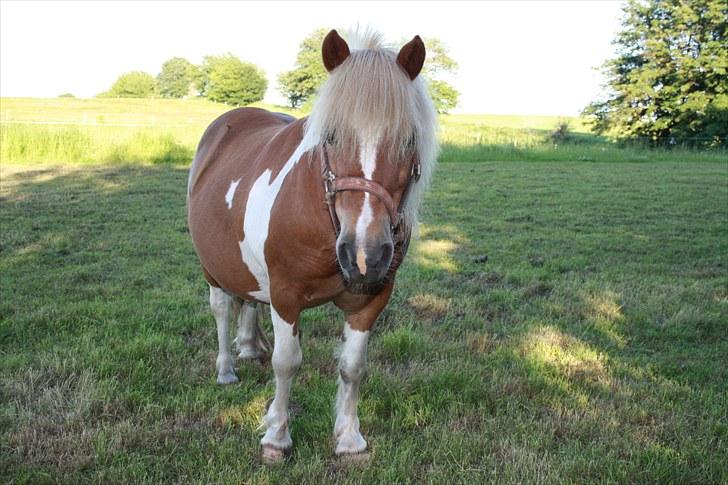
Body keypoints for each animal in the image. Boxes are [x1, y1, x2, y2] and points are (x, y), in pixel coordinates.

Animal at [188, 28, 438, 460]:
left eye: (408, 140)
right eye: (332, 136)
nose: (364, 255)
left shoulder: (371, 298)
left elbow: (353, 367)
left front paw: (349, 438)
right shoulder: (286, 296)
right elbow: (286, 362)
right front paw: (277, 436)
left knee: (249, 299)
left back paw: (249, 348)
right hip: (212, 268)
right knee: (221, 309)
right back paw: (226, 369)